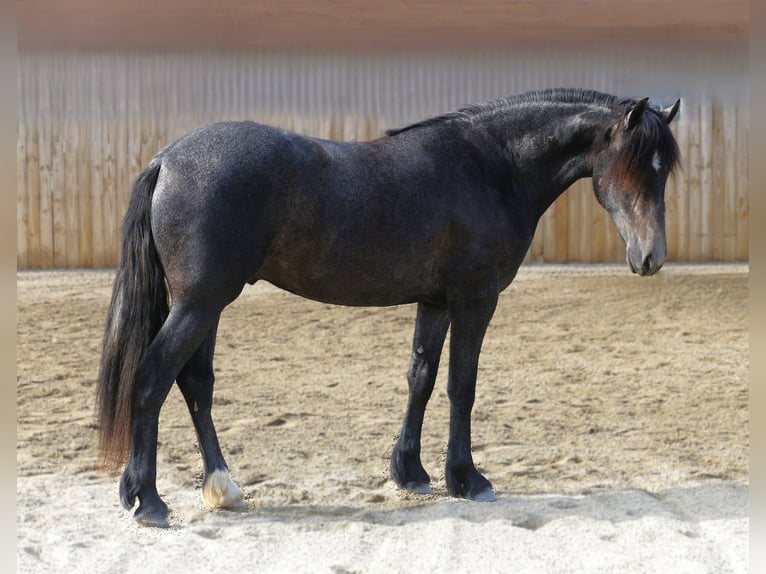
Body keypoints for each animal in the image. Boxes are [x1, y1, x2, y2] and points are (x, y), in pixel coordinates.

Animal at [96, 88, 680, 527]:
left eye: (664, 170)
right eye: (634, 166)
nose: (651, 257)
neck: (492, 169)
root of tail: (166, 161)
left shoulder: (436, 302)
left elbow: (421, 378)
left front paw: (412, 473)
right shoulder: (475, 300)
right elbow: (462, 386)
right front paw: (468, 479)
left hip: (207, 305)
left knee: (195, 384)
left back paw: (221, 486)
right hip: (199, 304)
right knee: (152, 379)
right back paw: (148, 500)